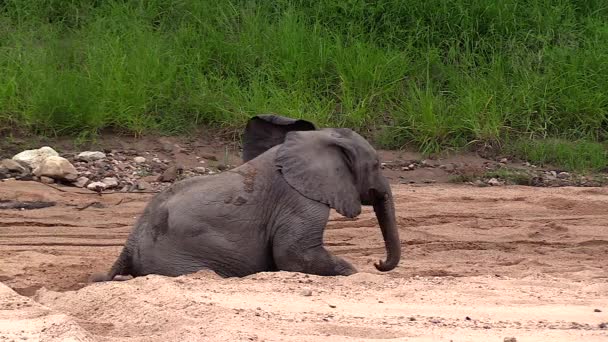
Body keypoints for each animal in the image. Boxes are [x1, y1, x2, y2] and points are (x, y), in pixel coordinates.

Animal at [90, 115, 402, 280]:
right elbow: (295, 254)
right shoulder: (299, 200)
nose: (378, 263)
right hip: (176, 256)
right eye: (377, 165)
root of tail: (131, 241)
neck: (313, 141)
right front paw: (352, 271)